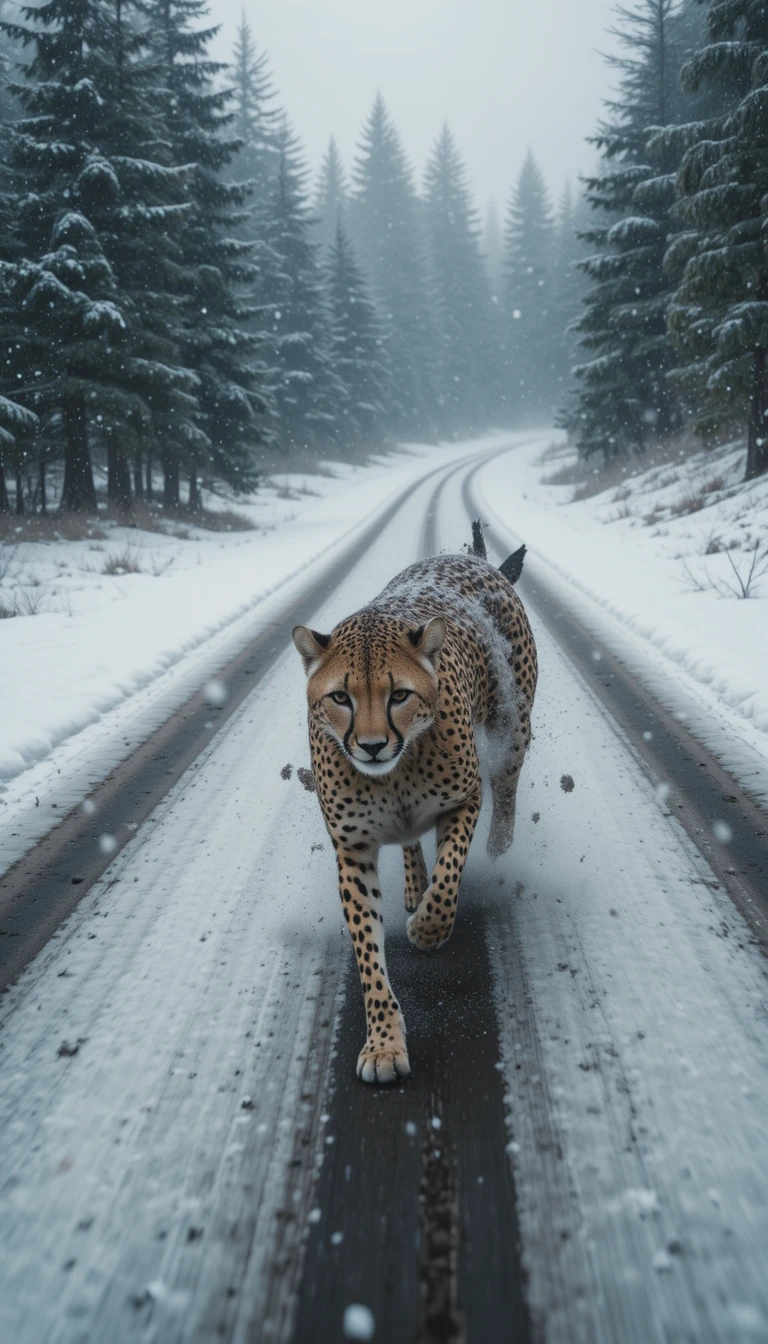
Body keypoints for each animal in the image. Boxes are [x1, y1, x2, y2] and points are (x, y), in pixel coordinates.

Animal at [292, 532, 537, 1085]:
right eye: (341, 697)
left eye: (399, 694)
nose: (371, 746)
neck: (393, 777)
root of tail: (469, 559)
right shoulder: (353, 848)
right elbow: (367, 951)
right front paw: (383, 1042)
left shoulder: (465, 799)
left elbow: (449, 881)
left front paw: (427, 930)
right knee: (409, 843)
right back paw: (411, 883)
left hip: (514, 727)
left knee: (507, 787)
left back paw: (500, 844)